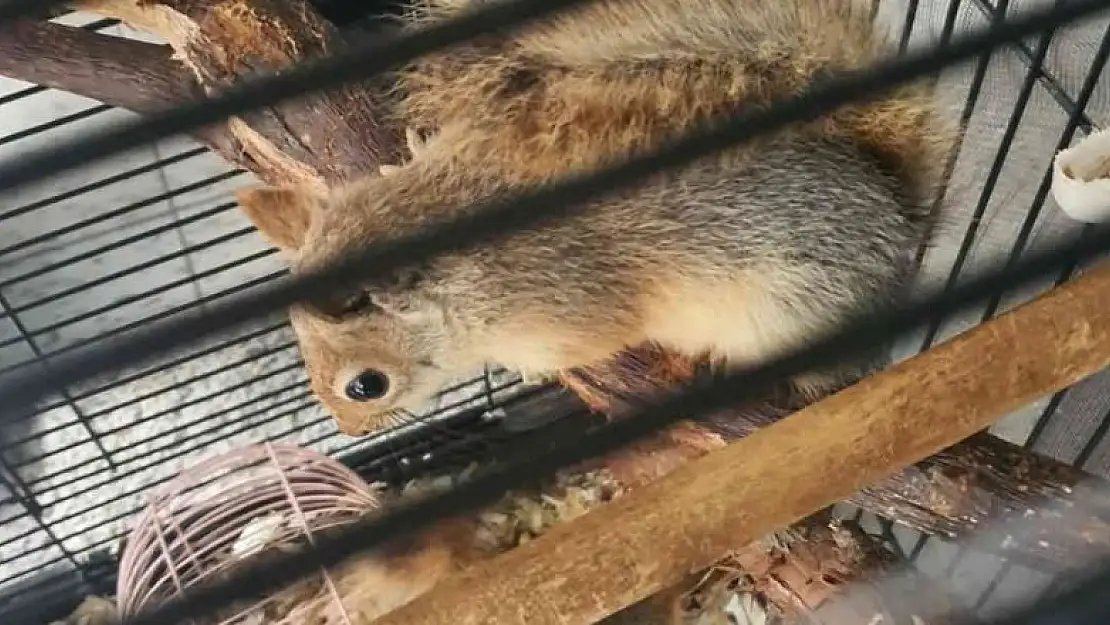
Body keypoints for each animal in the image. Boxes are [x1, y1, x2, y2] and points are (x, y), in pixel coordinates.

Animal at [236, 0, 954, 437]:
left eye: (366, 385)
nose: (349, 431)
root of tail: (899, 218)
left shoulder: (569, 307)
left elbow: (585, 343)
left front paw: (532, 370)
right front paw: (402, 156)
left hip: (796, 310)